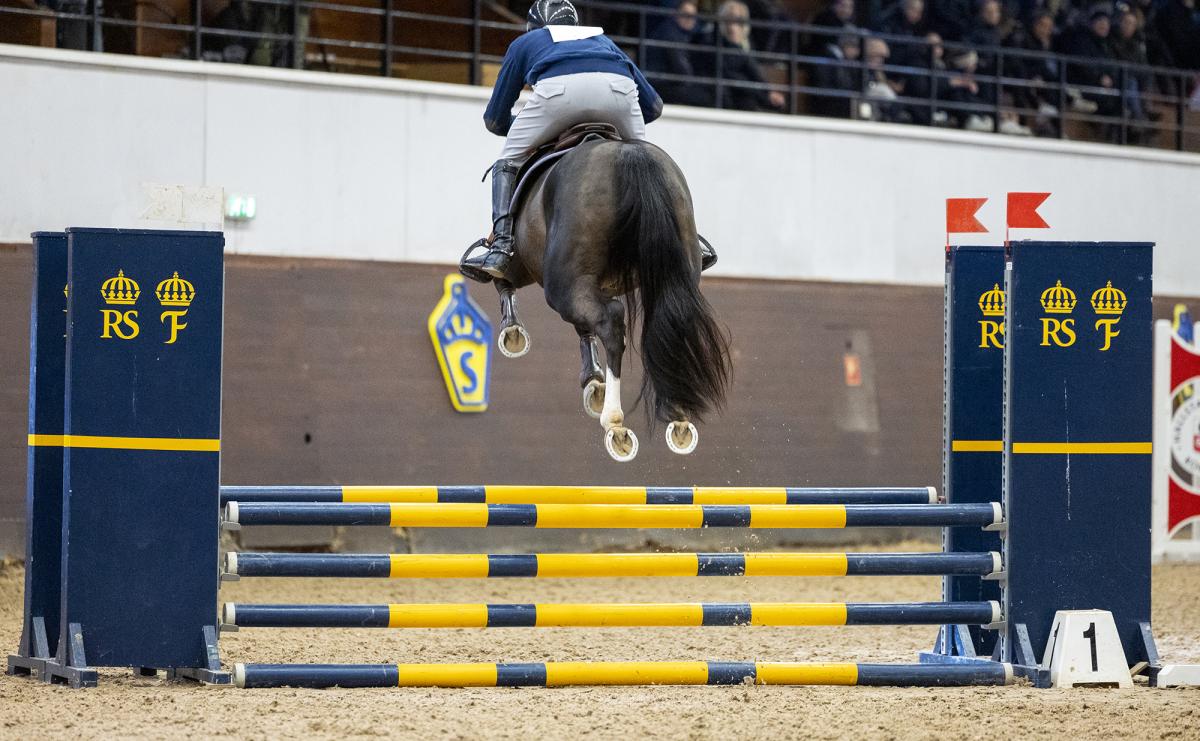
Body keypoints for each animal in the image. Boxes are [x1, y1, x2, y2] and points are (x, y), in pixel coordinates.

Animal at [489, 137, 732, 462]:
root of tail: (628, 153)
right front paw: (593, 381)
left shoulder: (525, 264)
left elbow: (502, 276)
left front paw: (512, 331)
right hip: (676, 268)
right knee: (671, 319)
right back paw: (677, 414)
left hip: (563, 284)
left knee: (611, 322)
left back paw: (615, 423)